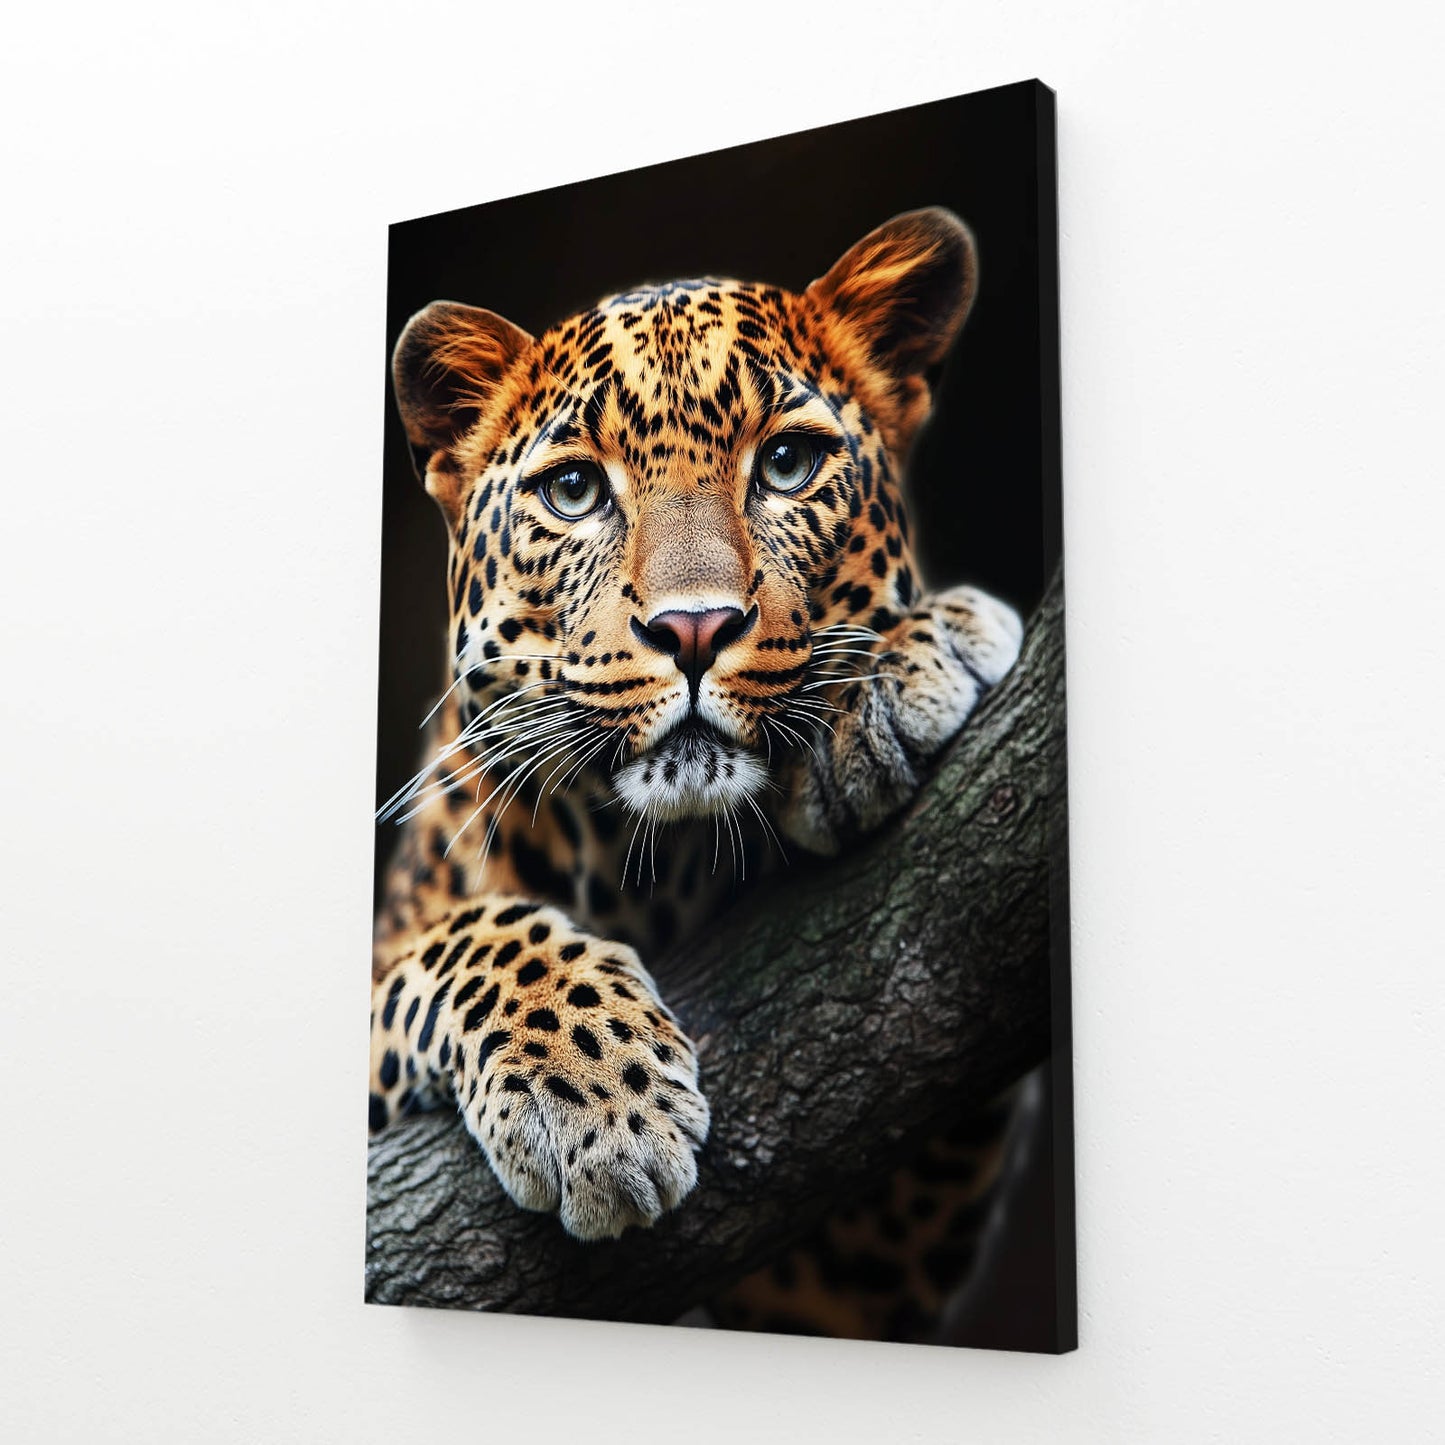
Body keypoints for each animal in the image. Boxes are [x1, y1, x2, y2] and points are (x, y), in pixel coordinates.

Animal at [370, 206, 1024, 1331]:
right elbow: (463, 940)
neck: (652, 865)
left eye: (789, 463)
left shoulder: (839, 1283)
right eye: (574, 489)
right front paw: (594, 1100)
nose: (692, 629)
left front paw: (905, 654)